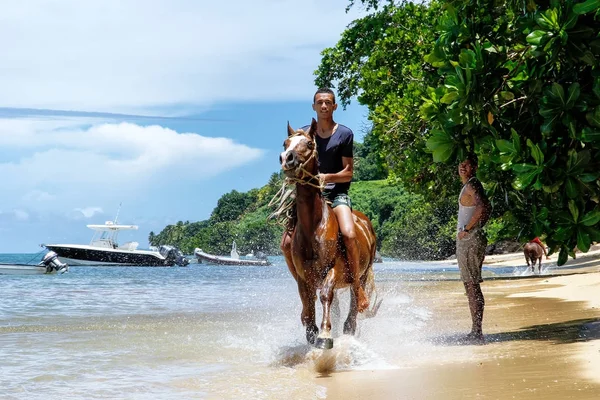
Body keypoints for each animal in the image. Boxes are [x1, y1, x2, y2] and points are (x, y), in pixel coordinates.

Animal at [278, 119, 378, 350]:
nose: (286, 158)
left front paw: (324, 334)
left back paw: (349, 330)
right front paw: (311, 333)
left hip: (360, 275)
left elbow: (325, 295)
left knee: (354, 304)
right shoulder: (303, 277)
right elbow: (307, 305)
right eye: (285, 143)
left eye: (308, 143)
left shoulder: (333, 269)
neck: (313, 227)